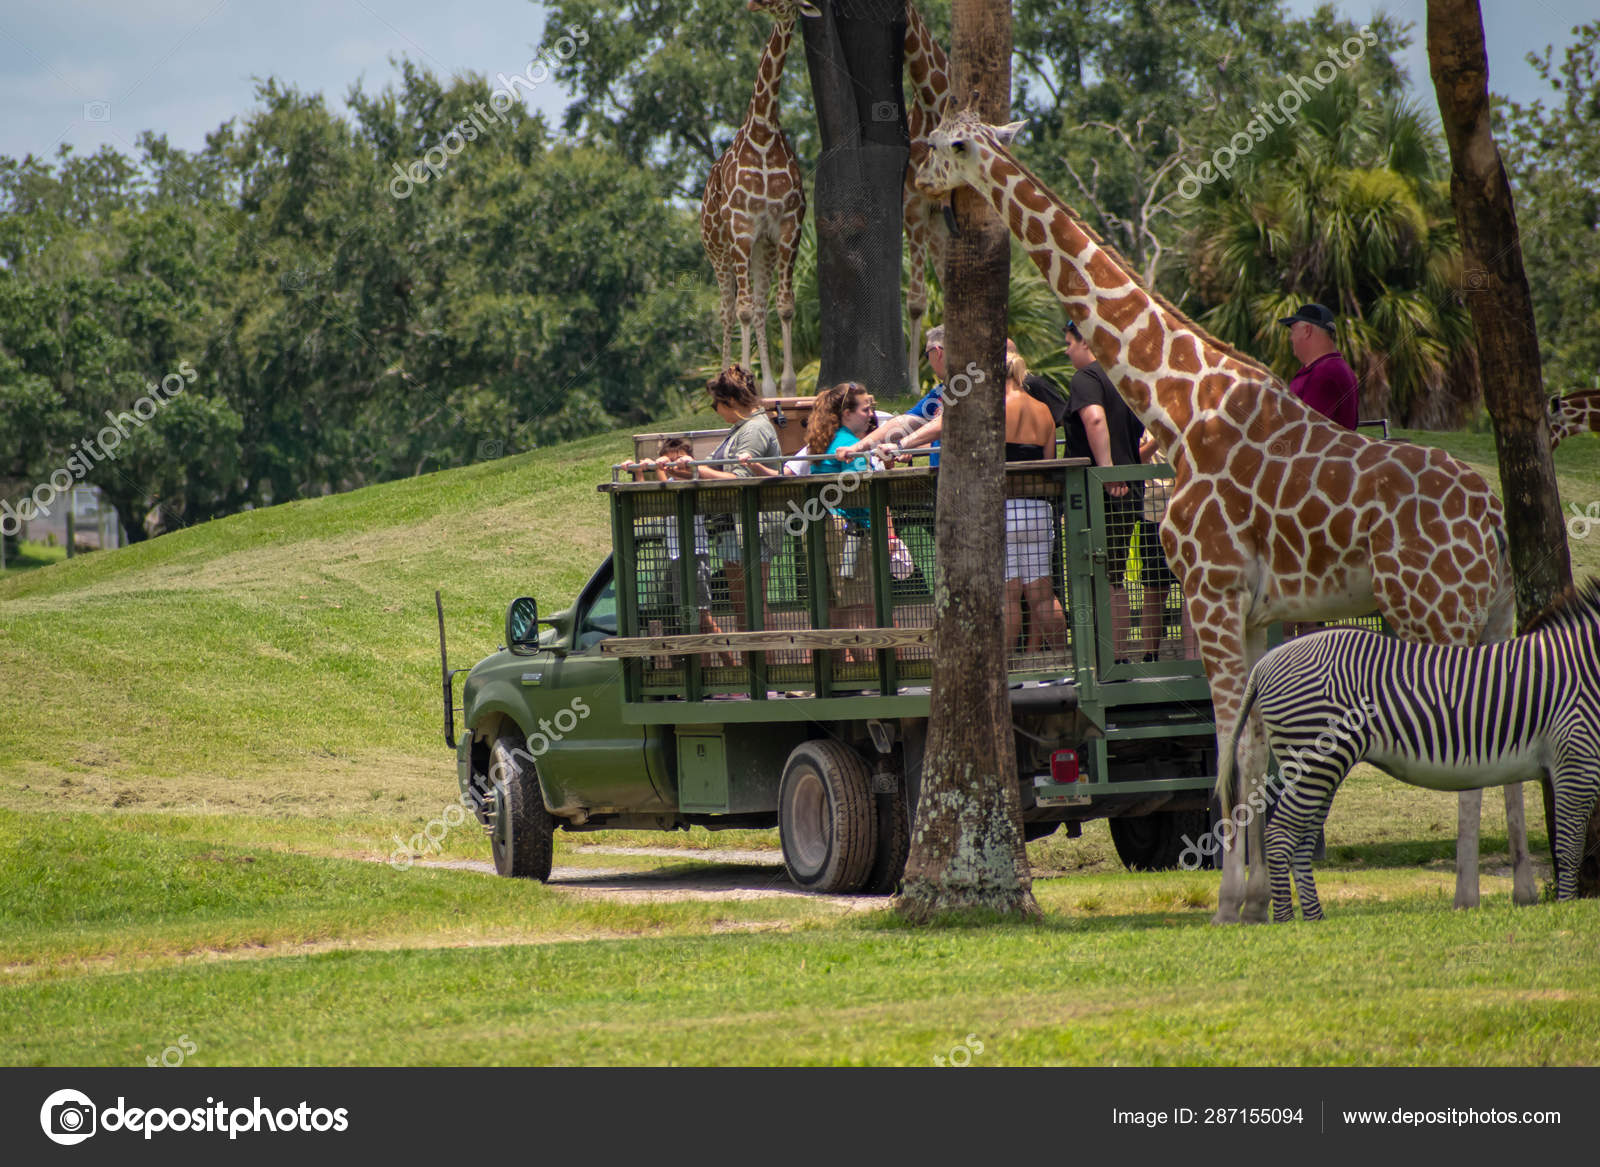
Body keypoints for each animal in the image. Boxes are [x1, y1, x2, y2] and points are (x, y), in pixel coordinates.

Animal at [700, 0, 819, 395]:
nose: (754, 3)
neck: (764, 135)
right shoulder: (742, 228)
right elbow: (743, 310)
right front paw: (740, 379)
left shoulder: (786, 227)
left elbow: (782, 305)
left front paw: (786, 386)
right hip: (718, 251)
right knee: (727, 309)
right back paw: (725, 375)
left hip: (760, 250)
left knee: (760, 304)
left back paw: (766, 388)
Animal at [915, 113, 1536, 922]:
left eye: (945, 144)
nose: (917, 178)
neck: (1175, 404)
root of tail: (1492, 515)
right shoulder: (1250, 607)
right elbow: (1252, 742)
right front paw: (1259, 900)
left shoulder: (1209, 590)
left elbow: (1227, 741)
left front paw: (1229, 901)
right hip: (1492, 610)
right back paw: (1525, 884)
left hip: (1433, 609)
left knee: (1465, 716)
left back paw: (1466, 893)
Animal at [1222, 579, 1600, 915]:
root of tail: (1265, 662)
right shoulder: (1576, 759)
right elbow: (1569, 844)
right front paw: (1565, 907)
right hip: (1316, 761)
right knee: (1281, 835)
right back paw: (1286, 919)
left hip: (1316, 766)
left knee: (1301, 838)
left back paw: (1315, 918)